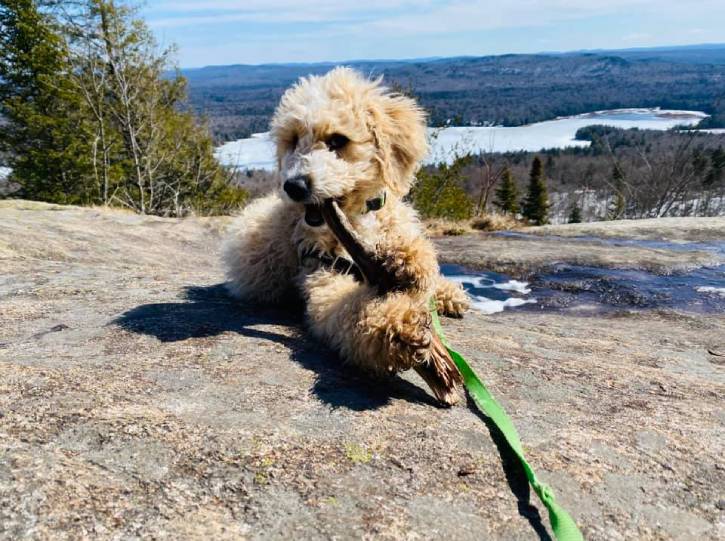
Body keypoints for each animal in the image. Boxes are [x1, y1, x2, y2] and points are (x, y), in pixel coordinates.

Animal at [222, 67, 470, 402]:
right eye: (293, 140)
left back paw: (448, 293)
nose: (294, 186)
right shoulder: (322, 275)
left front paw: (406, 259)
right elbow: (346, 313)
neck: (357, 220)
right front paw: (397, 328)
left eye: (338, 140)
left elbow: (420, 268)